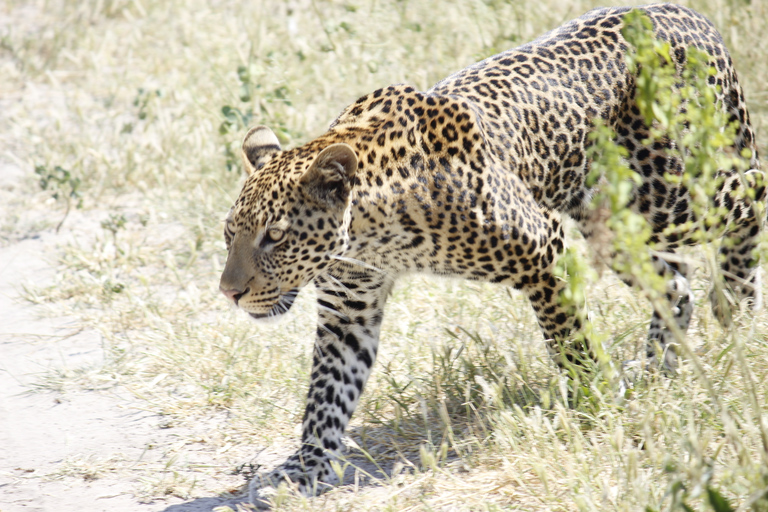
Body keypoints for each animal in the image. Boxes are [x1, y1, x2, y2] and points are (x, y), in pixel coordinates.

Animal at [219, 4, 764, 506]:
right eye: (229, 234)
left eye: (275, 236)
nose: (230, 293)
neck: (369, 235)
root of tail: (688, 14)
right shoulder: (348, 309)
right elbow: (326, 394)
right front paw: (304, 467)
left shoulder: (544, 249)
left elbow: (569, 341)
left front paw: (596, 401)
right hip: (612, 218)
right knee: (676, 283)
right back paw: (656, 365)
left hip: (668, 195)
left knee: (751, 191)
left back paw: (737, 305)